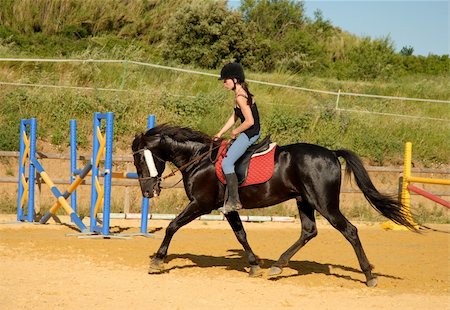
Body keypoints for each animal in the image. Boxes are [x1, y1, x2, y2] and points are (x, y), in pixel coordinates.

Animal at [132, 123, 416, 286]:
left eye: (140, 160)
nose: (147, 191)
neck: (199, 159)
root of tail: (331, 153)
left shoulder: (201, 204)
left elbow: (172, 226)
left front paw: (157, 261)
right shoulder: (228, 209)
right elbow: (241, 234)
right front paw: (255, 265)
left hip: (324, 204)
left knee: (350, 231)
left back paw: (369, 276)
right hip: (304, 201)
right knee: (309, 231)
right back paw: (277, 266)